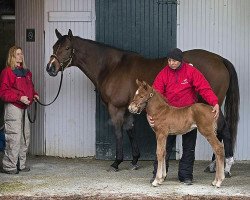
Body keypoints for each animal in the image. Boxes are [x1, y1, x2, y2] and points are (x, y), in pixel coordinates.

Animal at [46, 28, 239, 173]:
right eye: (54, 46)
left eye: (67, 48)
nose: (50, 68)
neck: (111, 67)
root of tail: (220, 59)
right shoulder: (127, 108)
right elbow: (130, 130)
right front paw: (134, 161)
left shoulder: (115, 108)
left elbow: (118, 132)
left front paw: (116, 162)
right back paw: (215, 165)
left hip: (211, 104)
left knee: (223, 130)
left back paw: (224, 166)